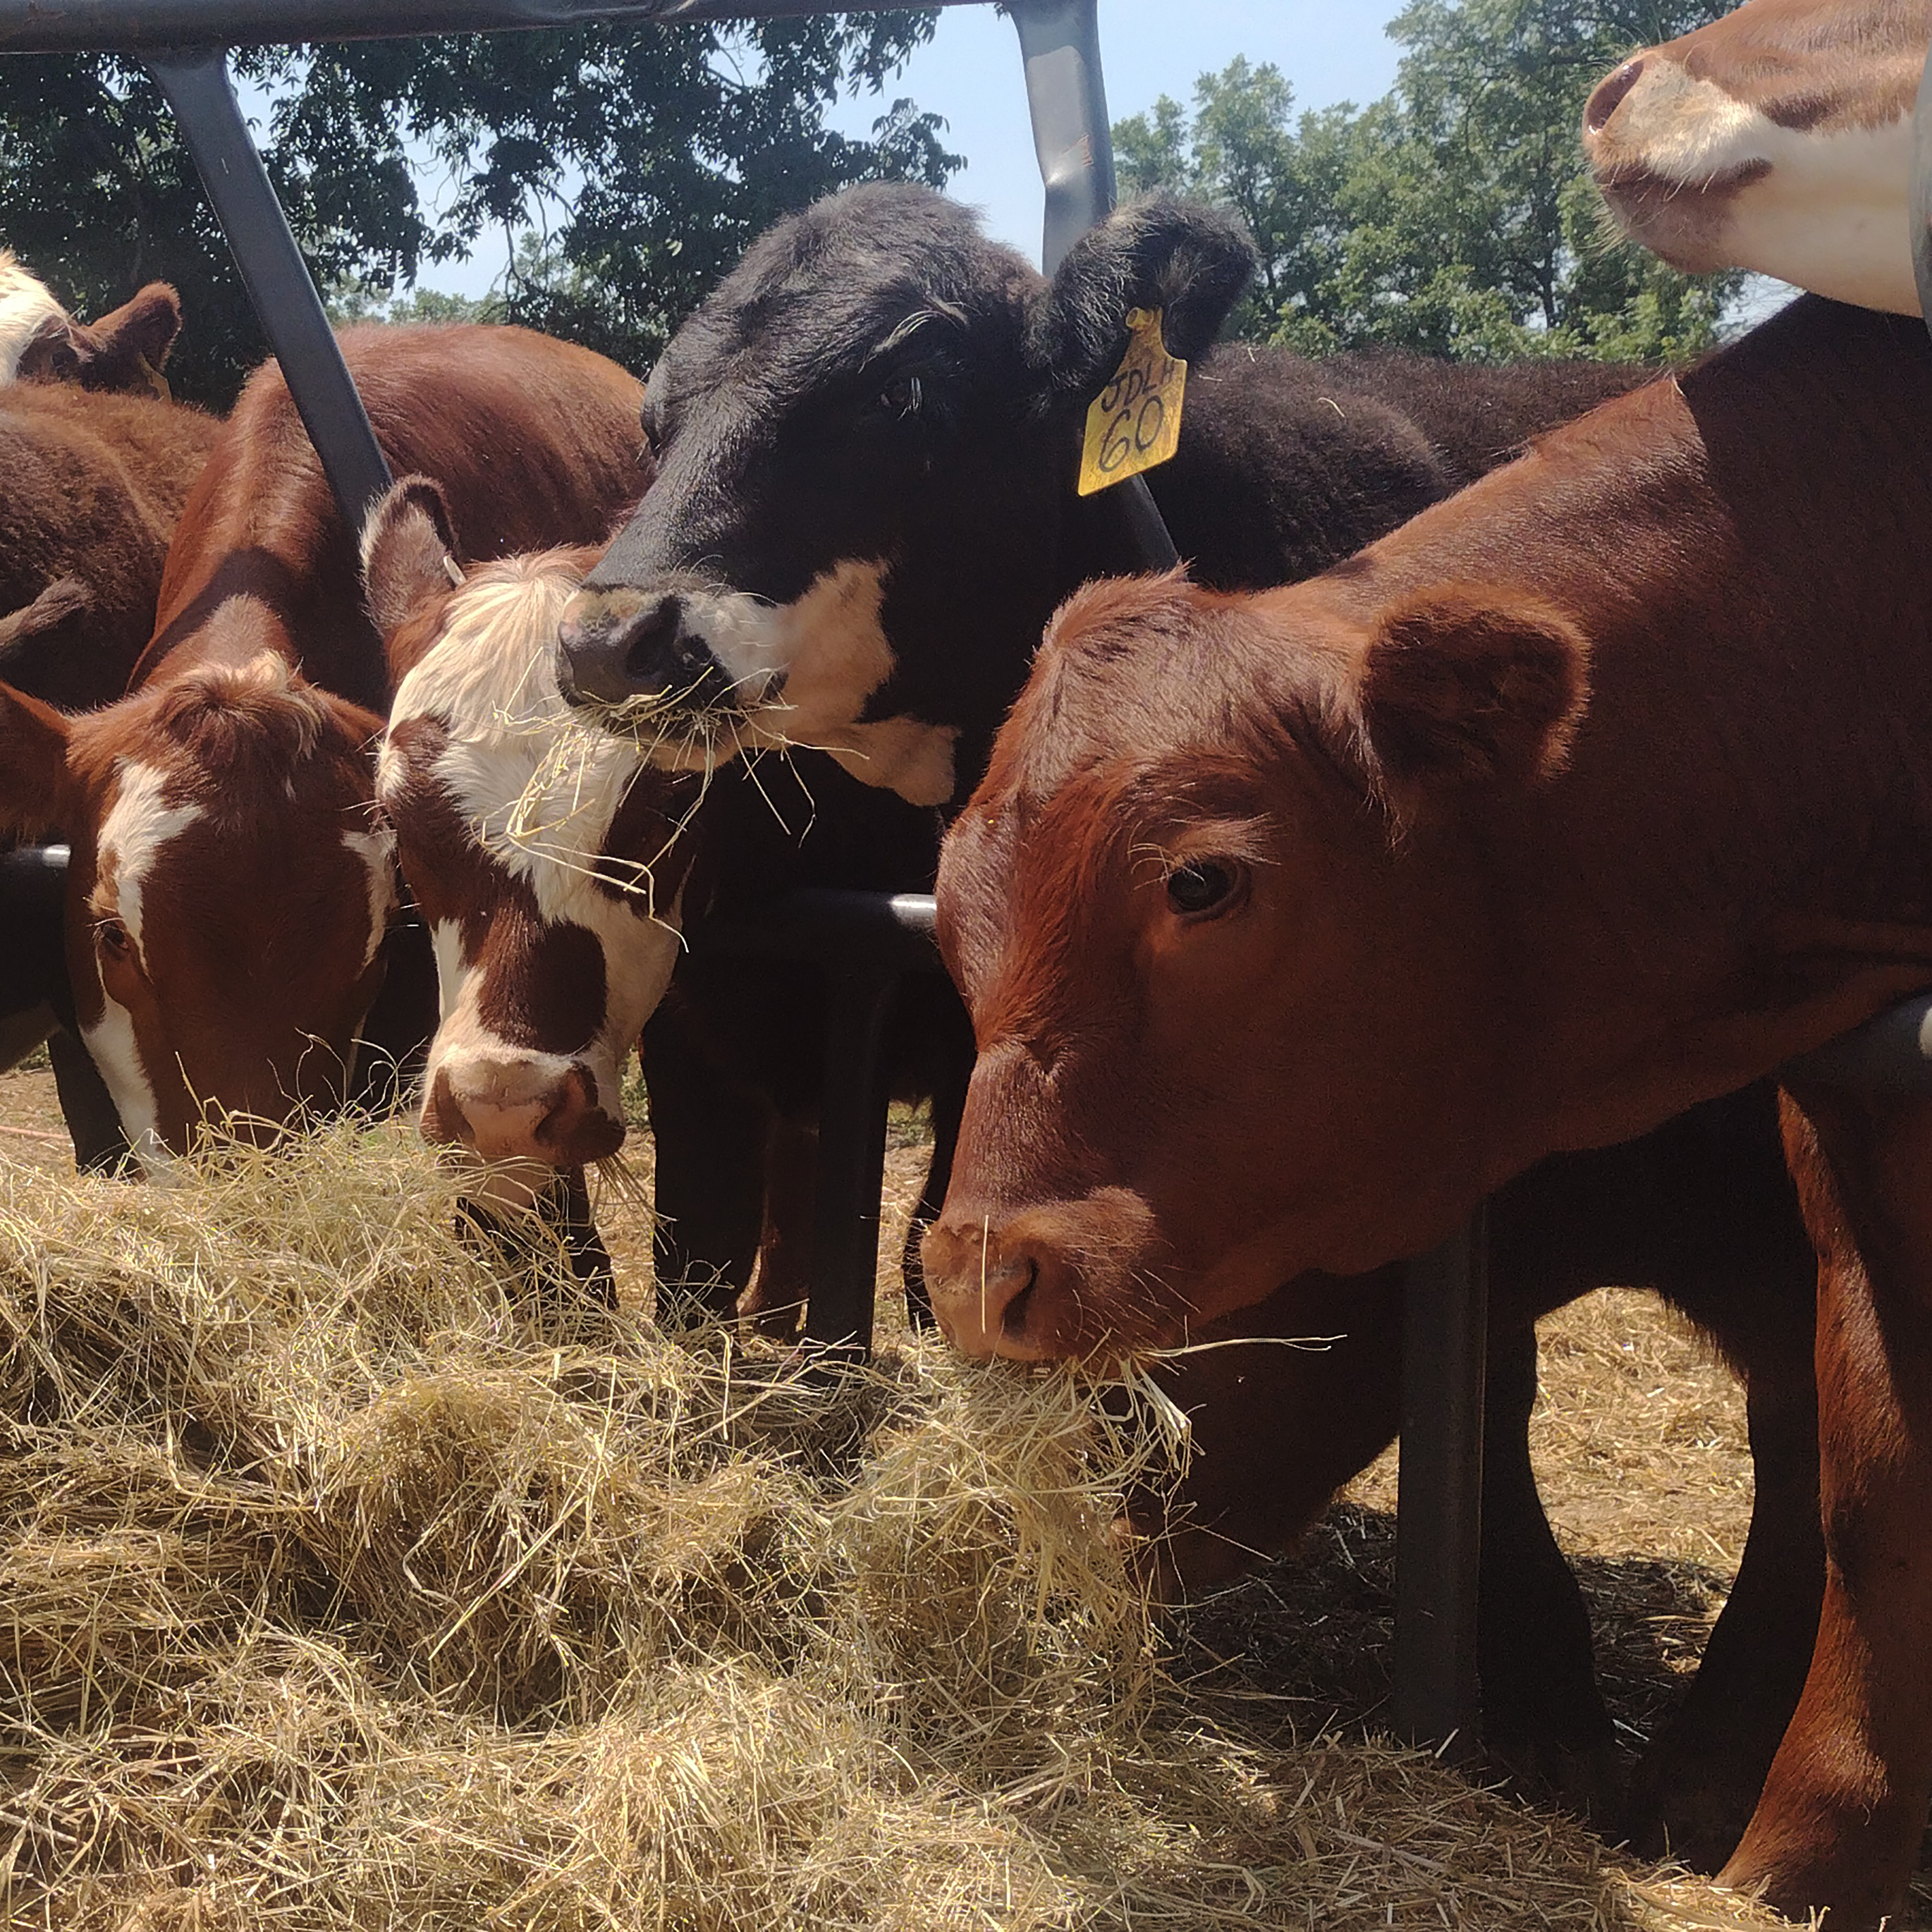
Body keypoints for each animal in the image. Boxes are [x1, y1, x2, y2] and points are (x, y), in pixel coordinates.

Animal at [915, 290, 1932, 1932]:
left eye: (1204, 880)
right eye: (952, 897)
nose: (971, 1274)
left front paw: (1729, 1794)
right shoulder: (1843, 1124)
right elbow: (1865, 1468)